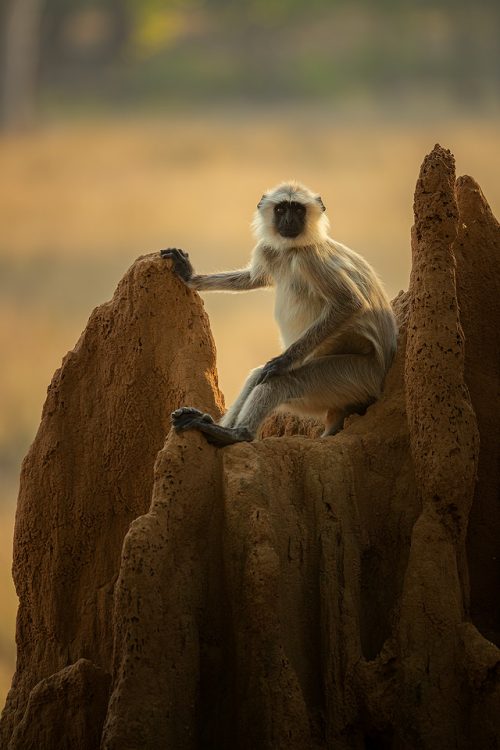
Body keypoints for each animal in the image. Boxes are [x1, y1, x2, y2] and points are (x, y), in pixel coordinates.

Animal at [162, 181, 396, 452]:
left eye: (298, 210)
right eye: (282, 209)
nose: (289, 220)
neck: (292, 249)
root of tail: (380, 377)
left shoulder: (310, 257)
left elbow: (350, 303)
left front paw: (280, 363)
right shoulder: (269, 250)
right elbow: (253, 279)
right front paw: (189, 275)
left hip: (354, 377)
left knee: (280, 382)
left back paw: (235, 434)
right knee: (257, 377)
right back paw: (209, 424)